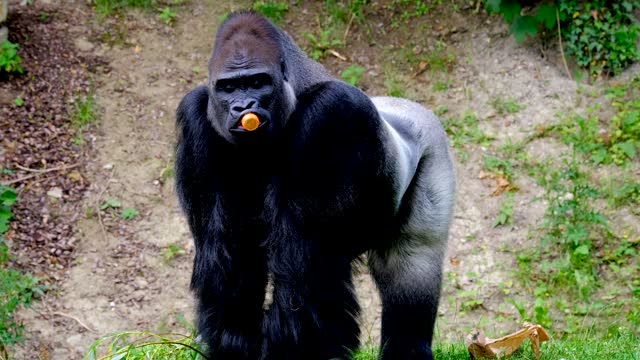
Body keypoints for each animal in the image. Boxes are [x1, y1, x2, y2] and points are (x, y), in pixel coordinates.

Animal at [175, 9, 456, 358]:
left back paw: (408, 347)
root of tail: (402, 105)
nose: (244, 108)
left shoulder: (331, 114)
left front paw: (293, 349)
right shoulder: (197, 117)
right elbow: (227, 249)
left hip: (433, 146)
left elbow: (303, 266)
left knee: (412, 262)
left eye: (257, 82)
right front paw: (233, 343)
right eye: (228, 88)